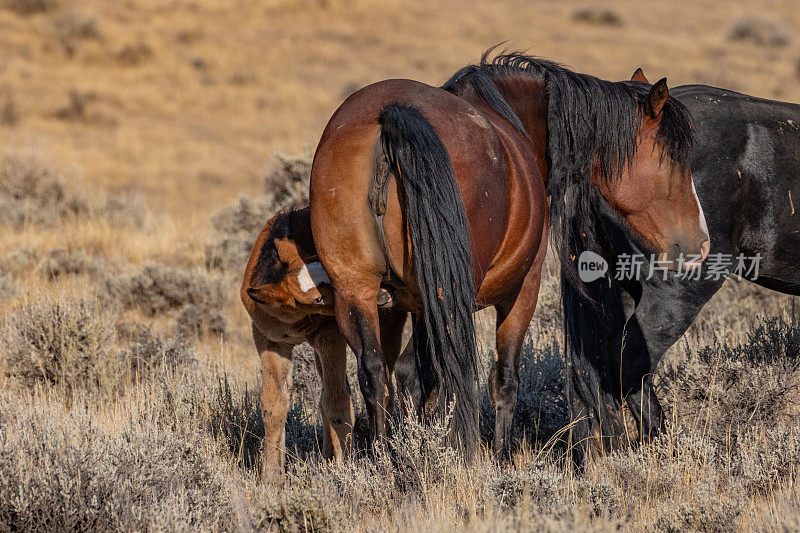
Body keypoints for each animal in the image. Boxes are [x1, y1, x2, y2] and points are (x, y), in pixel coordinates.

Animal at [310, 53, 708, 458]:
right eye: (671, 162)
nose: (702, 242)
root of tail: (392, 113)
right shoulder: (522, 291)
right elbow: (504, 380)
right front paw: (501, 456)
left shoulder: (394, 306)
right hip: (440, 298)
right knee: (420, 374)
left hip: (356, 292)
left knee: (376, 373)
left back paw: (382, 457)